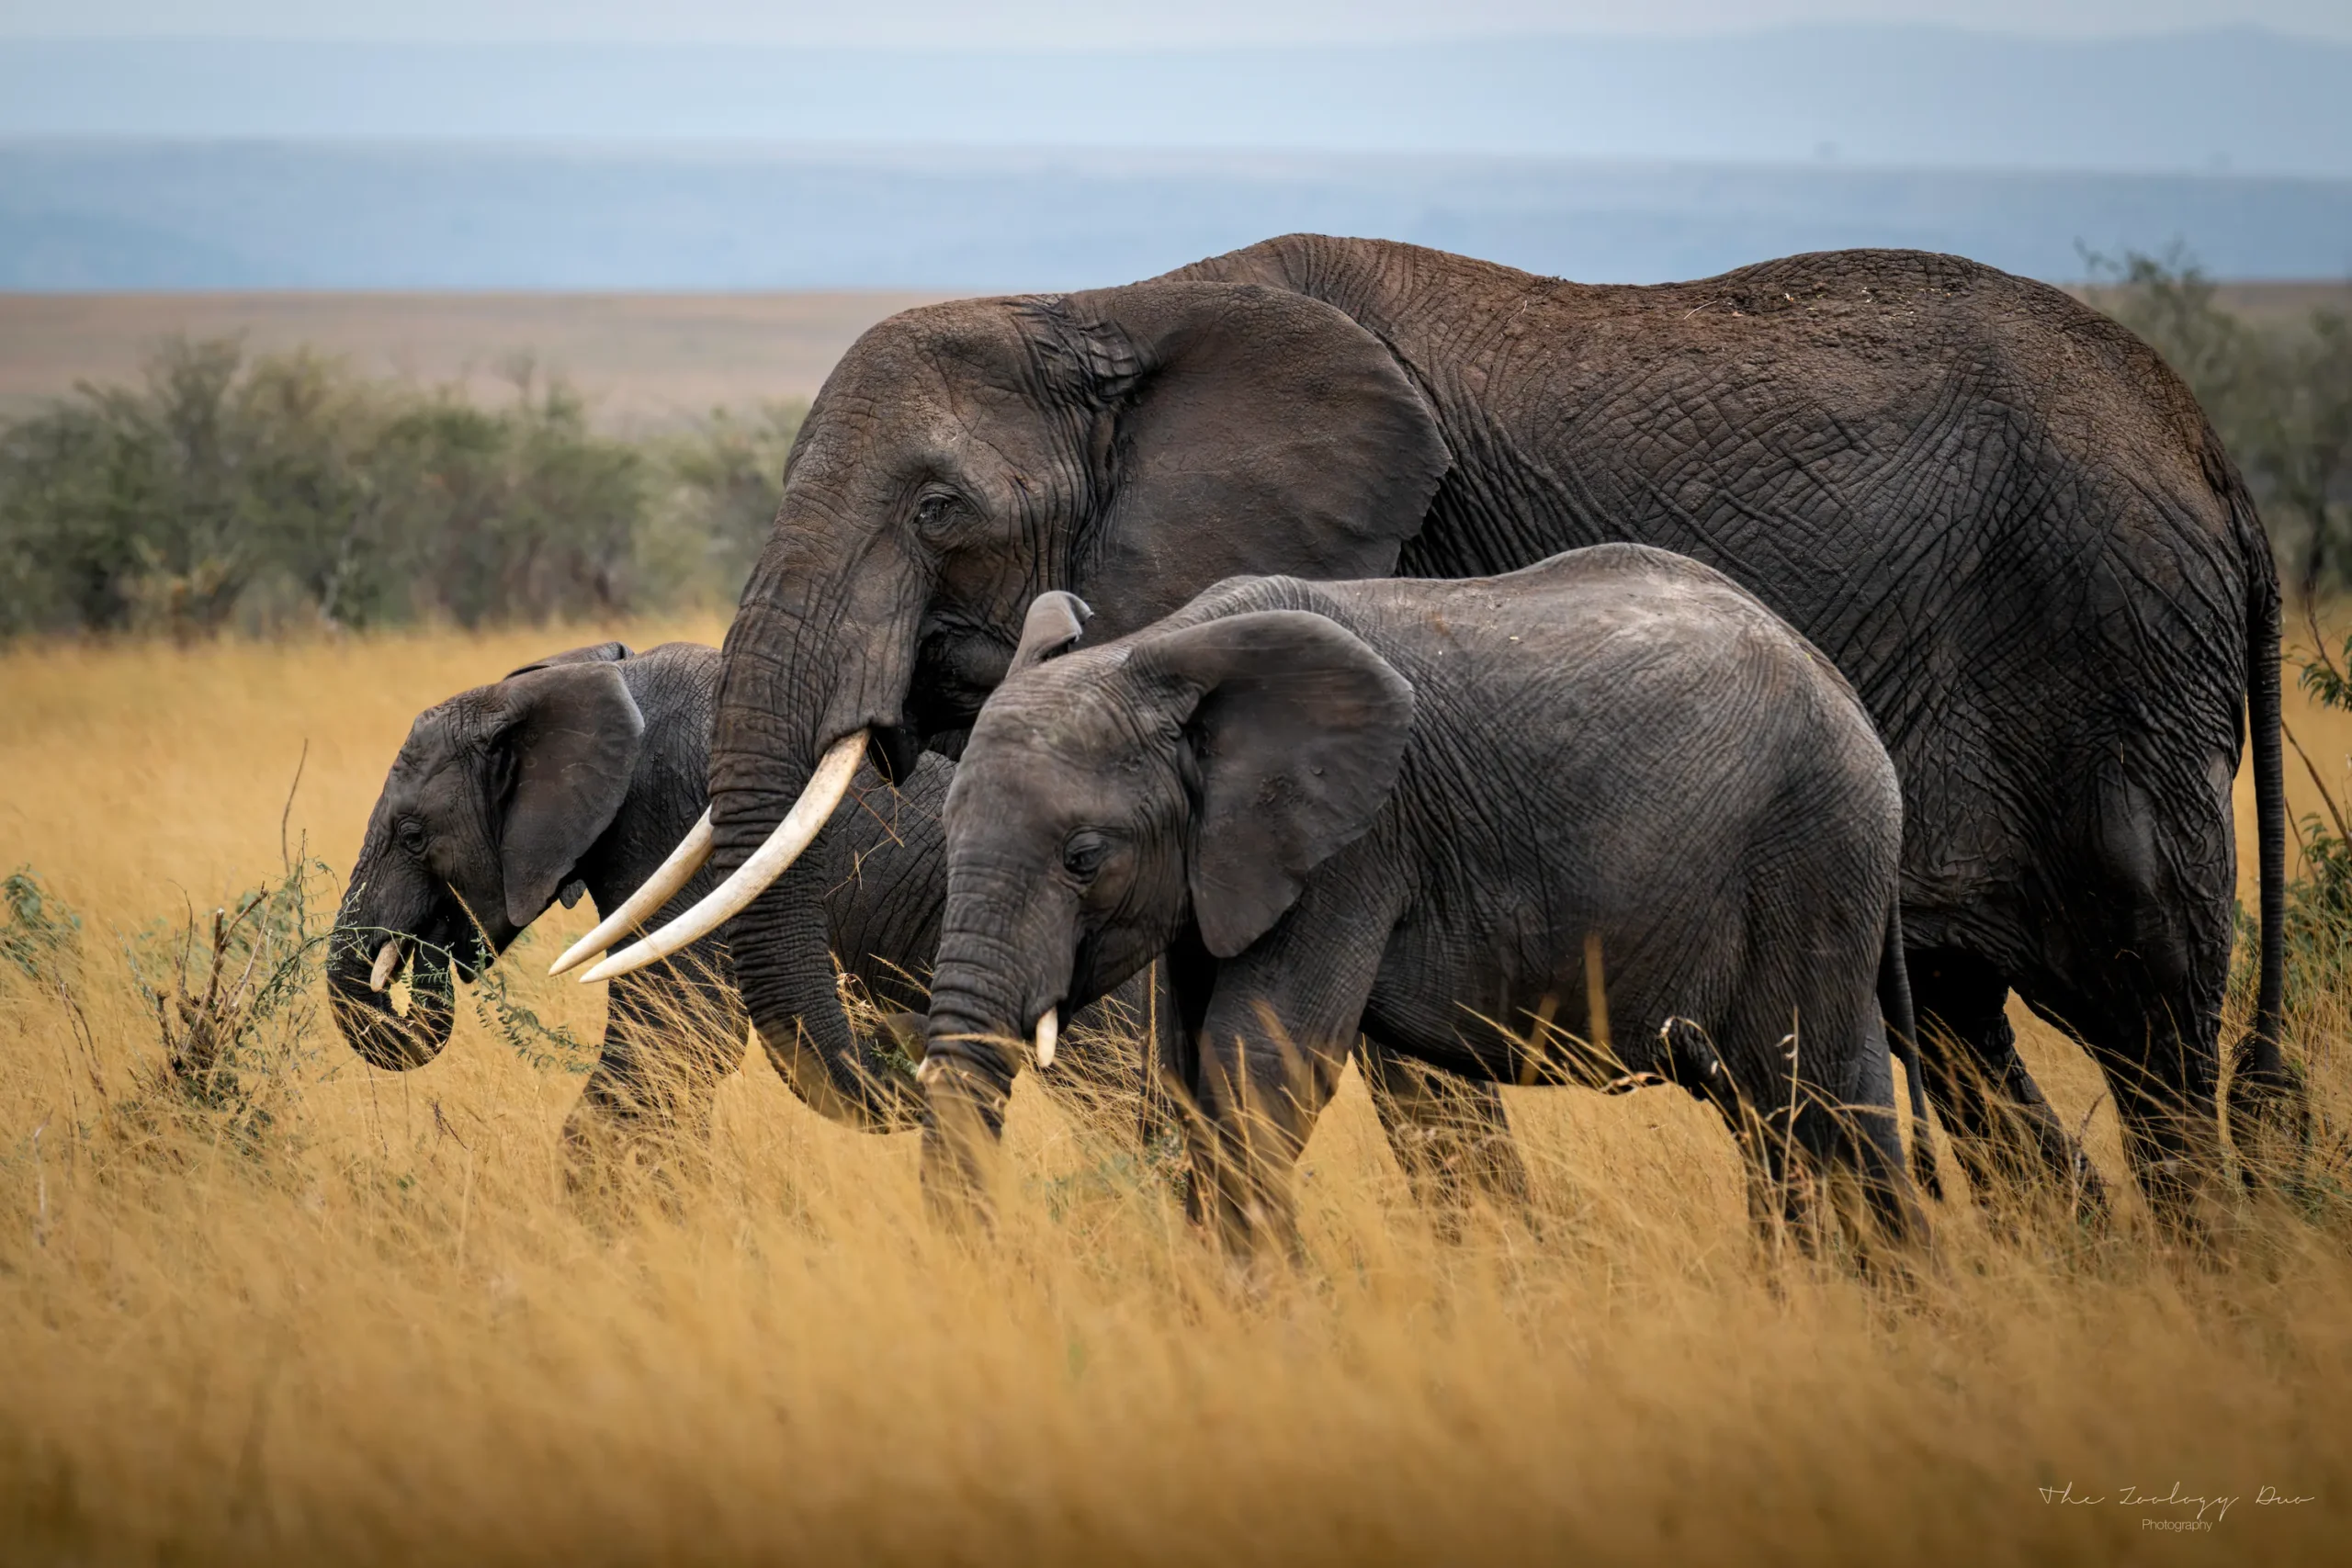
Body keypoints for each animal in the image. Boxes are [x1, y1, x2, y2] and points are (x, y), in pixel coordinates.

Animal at [918, 561, 1935, 1259]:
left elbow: (1258, 1066)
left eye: (1084, 859)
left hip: (1812, 853)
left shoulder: (1354, 849)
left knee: (1813, 1096)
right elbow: (1187, 1069)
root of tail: (1840, 686)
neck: (1168, 649)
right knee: (1803, 1113)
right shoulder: (1224, 867)